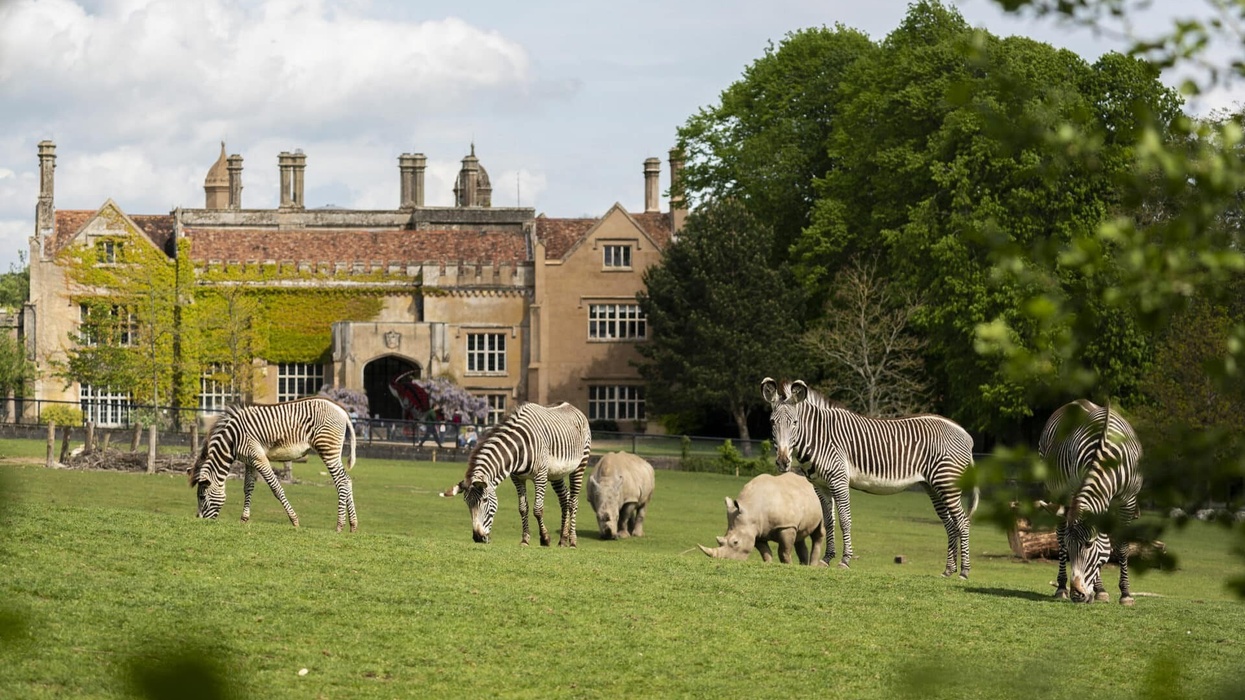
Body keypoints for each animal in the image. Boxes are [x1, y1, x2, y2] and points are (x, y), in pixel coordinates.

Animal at [188, 396, 358, 532]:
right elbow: (248, 487)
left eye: (202, 497)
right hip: (332, 451)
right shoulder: (249, 460)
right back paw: (353, 525)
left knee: (341, 482)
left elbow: (276, 488)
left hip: (328, 449)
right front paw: (244, 519)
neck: (232, 440)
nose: (200, 520)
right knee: (348, 480)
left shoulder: (259, 459)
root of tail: (341, 411)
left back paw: (340, 525)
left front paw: (294, 520)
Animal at [441, 402, 591, 547]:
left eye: (485, 500)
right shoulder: (517, 478)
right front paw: (525, 540)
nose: (477, 537)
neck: (519, 449)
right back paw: (563, 540)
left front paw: (545, 539)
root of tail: (571, 406)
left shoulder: (540, 475)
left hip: (580, 465)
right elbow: (523, 508)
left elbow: (538, 509)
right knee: (564, 498)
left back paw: (572, 541)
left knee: (573, 502)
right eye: (466, 503)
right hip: (556, 474)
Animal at [762, 378, 979, 578]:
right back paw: (948, 570)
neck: (819, 437)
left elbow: (845, 519)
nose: (783, 462)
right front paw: (826, 559)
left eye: (795, 423)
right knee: (950, 524)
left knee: (962, 522)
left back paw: (964, 572)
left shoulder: (839, 480)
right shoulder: (820, 486)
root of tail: (966, 435)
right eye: (772, 422)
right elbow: (829, 522)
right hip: (933, 486)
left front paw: (845, 560)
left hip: (947, 482)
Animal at [1037, 399, 1143, 605]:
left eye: (1088, 544)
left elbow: (1122, 546)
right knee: (1059, 536)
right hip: (1056, 493)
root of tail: (1075, 402)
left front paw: (1126, 594)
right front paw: (1099, 590)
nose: (1077, 595)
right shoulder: (1075, 492)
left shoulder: (1128, 501)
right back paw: (1061, 587)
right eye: (1072, 547)